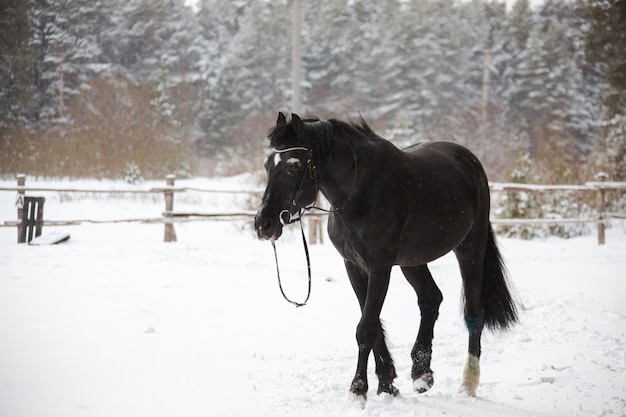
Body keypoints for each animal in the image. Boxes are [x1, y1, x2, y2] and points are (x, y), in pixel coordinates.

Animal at [254, 112, 516, 402]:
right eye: (267, 165)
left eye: (293, 166)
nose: (263, 224)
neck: (359, 192)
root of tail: (469, 160)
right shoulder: (354, 266)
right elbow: (374, 326)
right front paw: (386, 384)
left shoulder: (380, 267)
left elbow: (366, 328)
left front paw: (358, 389)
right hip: (413, 261)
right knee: (431, 299)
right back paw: (422, 374)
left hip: (470, 249)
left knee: (473, 313)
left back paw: (468, 383)